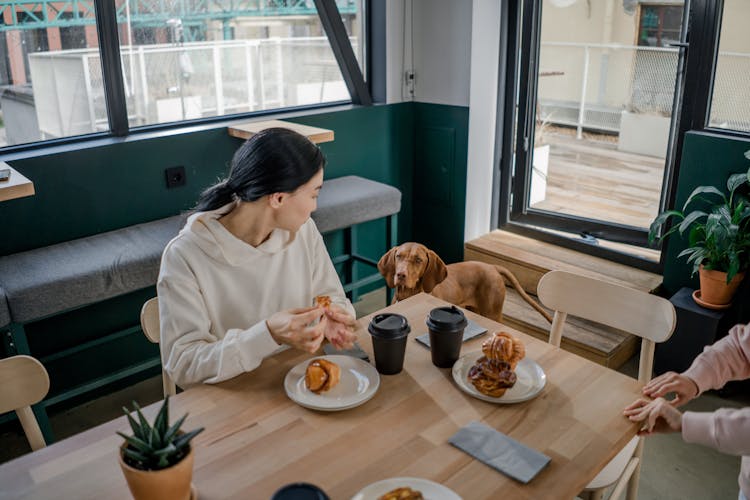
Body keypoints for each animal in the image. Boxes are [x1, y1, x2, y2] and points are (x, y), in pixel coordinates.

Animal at [378, 242, 556, 324]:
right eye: (398, 256)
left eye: (418, 260)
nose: (400, 275)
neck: (409, 294)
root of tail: (492, 266)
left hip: (492, 314)